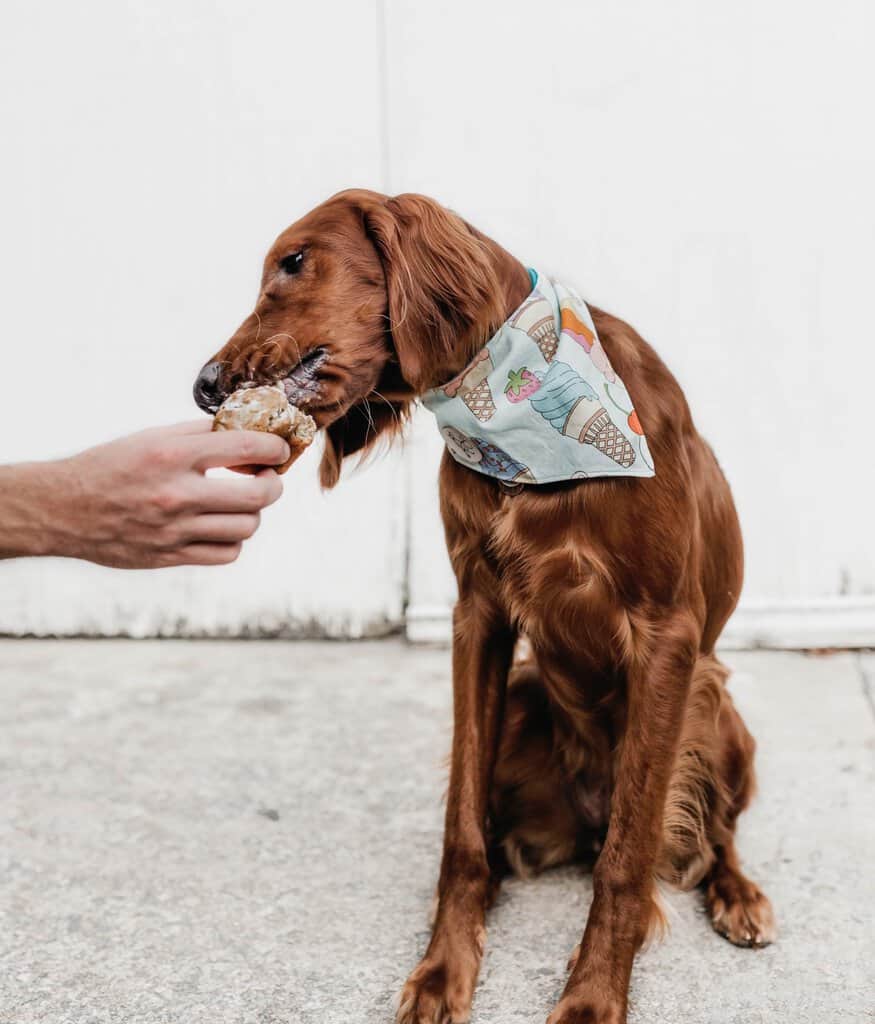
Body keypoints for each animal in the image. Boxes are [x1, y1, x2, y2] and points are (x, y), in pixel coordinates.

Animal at [195, 188, 778, 1019]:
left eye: (295, 262)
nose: (204, 386)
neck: (516, 415)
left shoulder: (665, 633)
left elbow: (629, 856)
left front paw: (592, 995)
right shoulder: (479, 614)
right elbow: (462, 829)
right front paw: (443, 968)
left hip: (716, 705)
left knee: (709, 836)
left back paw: (738, 895)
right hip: (528, 702)